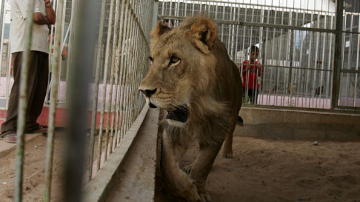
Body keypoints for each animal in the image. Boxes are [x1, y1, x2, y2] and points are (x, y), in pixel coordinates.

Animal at [139, 16, 243, 201]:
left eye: (174, 59)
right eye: (151, 59)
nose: (144, 91)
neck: (197, 107)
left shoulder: (217, 126)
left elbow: (204, 164)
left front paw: (198, 192)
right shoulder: (172, 129)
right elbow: (167, 166)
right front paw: (186, 187)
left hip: (234, 111)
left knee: (230, 132)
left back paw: (227, 152)